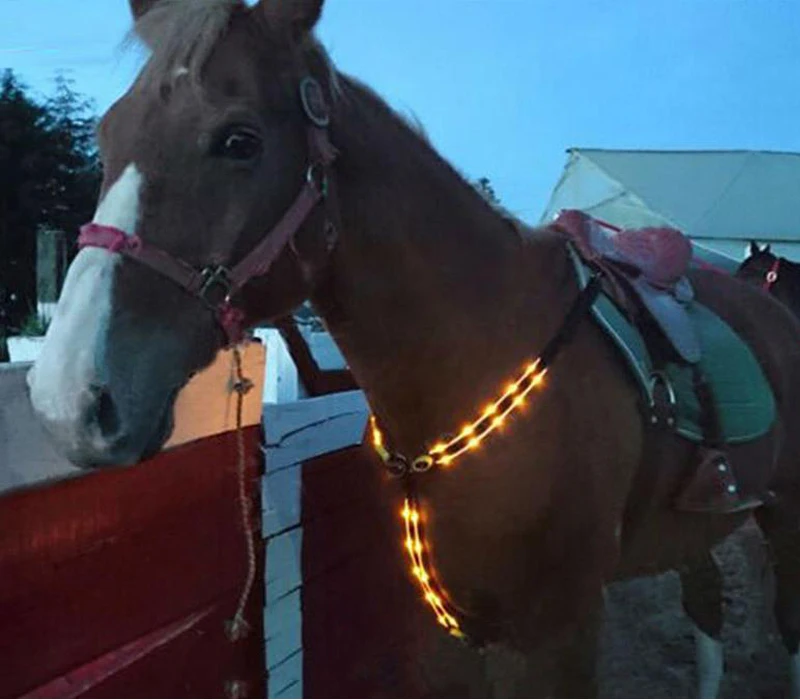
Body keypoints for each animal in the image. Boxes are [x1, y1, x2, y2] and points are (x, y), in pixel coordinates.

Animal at [26, 0, 800, 695]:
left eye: (239, 140)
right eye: (107, 135)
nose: (67, 396)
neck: (485, 357)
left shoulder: (565, 635)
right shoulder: (456, 632)